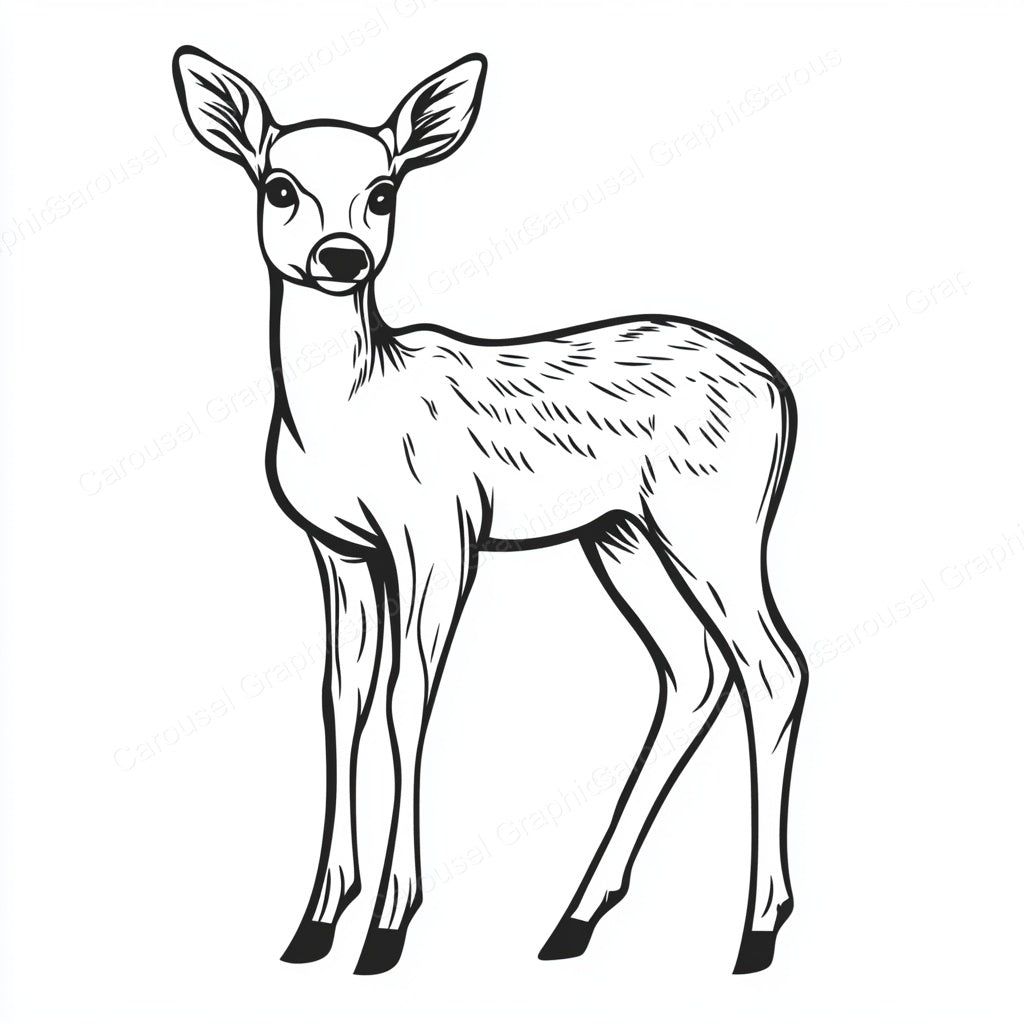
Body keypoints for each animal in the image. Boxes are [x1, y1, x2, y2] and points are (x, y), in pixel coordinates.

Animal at [172, 46, 809, 977]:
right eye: (278, 185)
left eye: (384, 190)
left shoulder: (440, 532)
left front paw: (388, 926)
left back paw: (756, 929)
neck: (350, 415)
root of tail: (781, 392)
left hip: (712, 518)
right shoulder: (338, 548)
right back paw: (574, 918)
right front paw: (316, 921)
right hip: (620, 532)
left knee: (773, 665)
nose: (340, 256)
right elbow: (340, 698)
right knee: (694, 668)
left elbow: (406, 697)